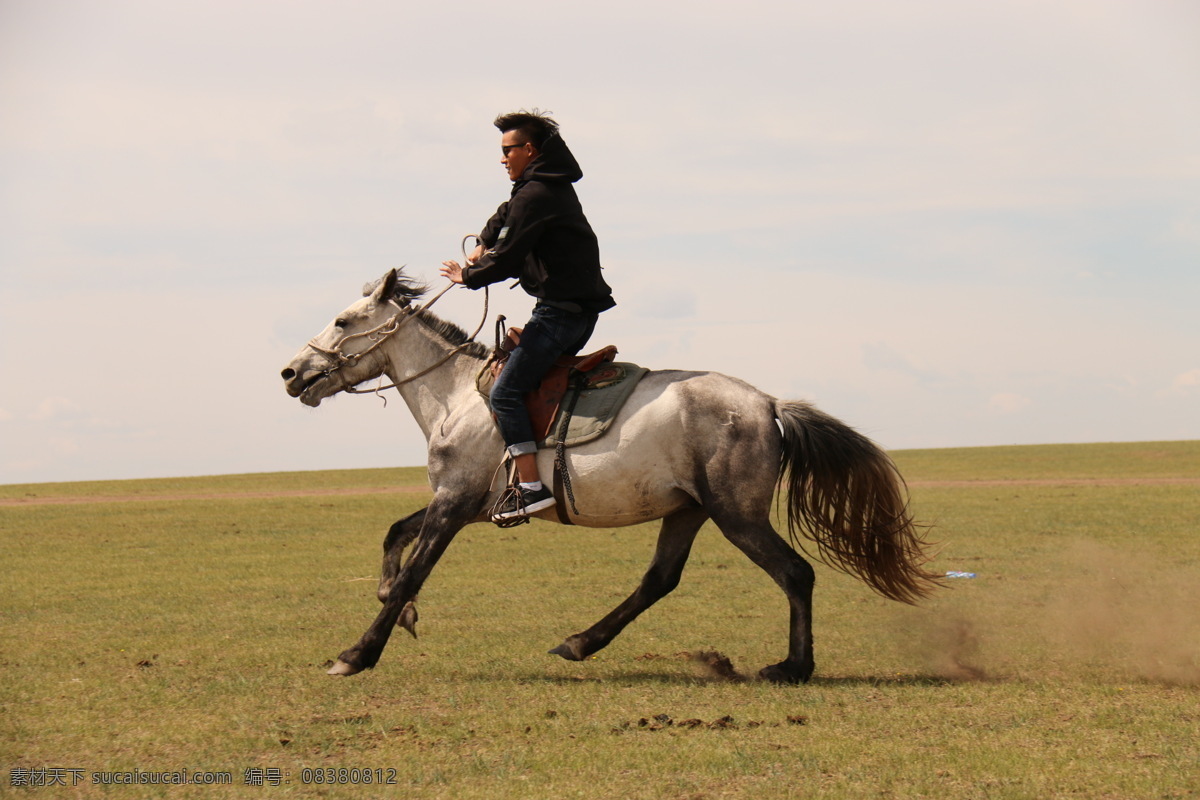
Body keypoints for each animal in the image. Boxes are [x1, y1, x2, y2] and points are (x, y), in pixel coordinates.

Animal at [280, 268, 940, 683]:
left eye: (343, 321)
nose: (290, 373)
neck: (456, 395)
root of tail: (767, 404)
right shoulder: (461, 502)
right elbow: (395, 537)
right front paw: (398, 606)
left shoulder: (455, 504)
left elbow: (414, 567)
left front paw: (357, 654)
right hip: (688, 511)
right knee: (659, 581)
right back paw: (579, 643)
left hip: (736, 516)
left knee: (795, 574)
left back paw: (793, 668)